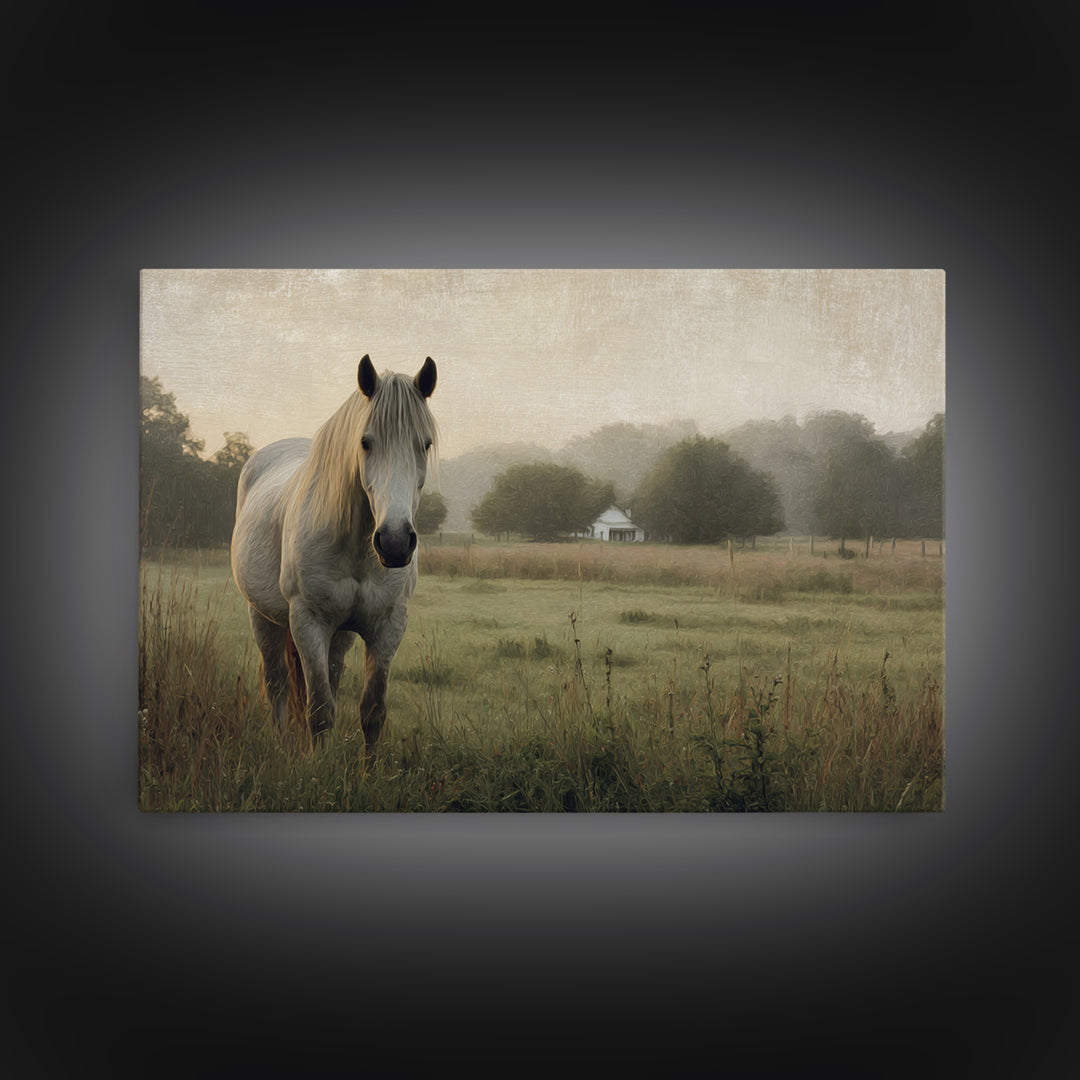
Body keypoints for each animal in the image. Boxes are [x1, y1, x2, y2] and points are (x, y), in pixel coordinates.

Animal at [230, 354, 438, 750]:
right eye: (366, 442)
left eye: (425, 444)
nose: (394, 542)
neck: (356, 549)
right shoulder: (309, 622)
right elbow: (320, 712)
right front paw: (318, 764)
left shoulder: (388, 626)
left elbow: (372, 711)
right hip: (261, 616)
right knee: (277, 681)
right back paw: (282, 746)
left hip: (339, 634)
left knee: (331, 674)